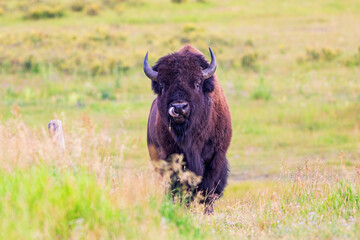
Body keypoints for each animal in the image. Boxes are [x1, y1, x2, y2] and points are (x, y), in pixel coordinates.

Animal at [142, 44, 232, 212]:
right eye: (163, 84)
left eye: (197, 83)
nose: (179, 108)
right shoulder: (171, 158)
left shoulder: (215, 157)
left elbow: (208, 188)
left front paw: (208, 211)